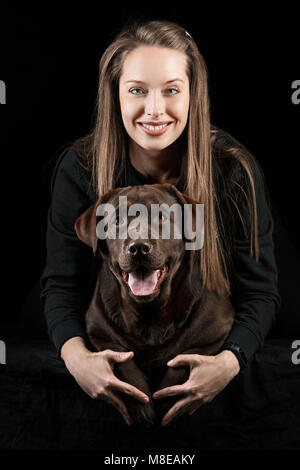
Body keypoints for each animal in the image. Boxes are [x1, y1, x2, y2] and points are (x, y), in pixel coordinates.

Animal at [74, 184, 234, 426]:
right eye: (117, 220)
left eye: (161, 216)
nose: (139, 247)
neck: (149, 314)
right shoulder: (98, 330)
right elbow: (122, 358)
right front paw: (143, 407)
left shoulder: (216, 329)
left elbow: (184, 359)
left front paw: (168, 400)